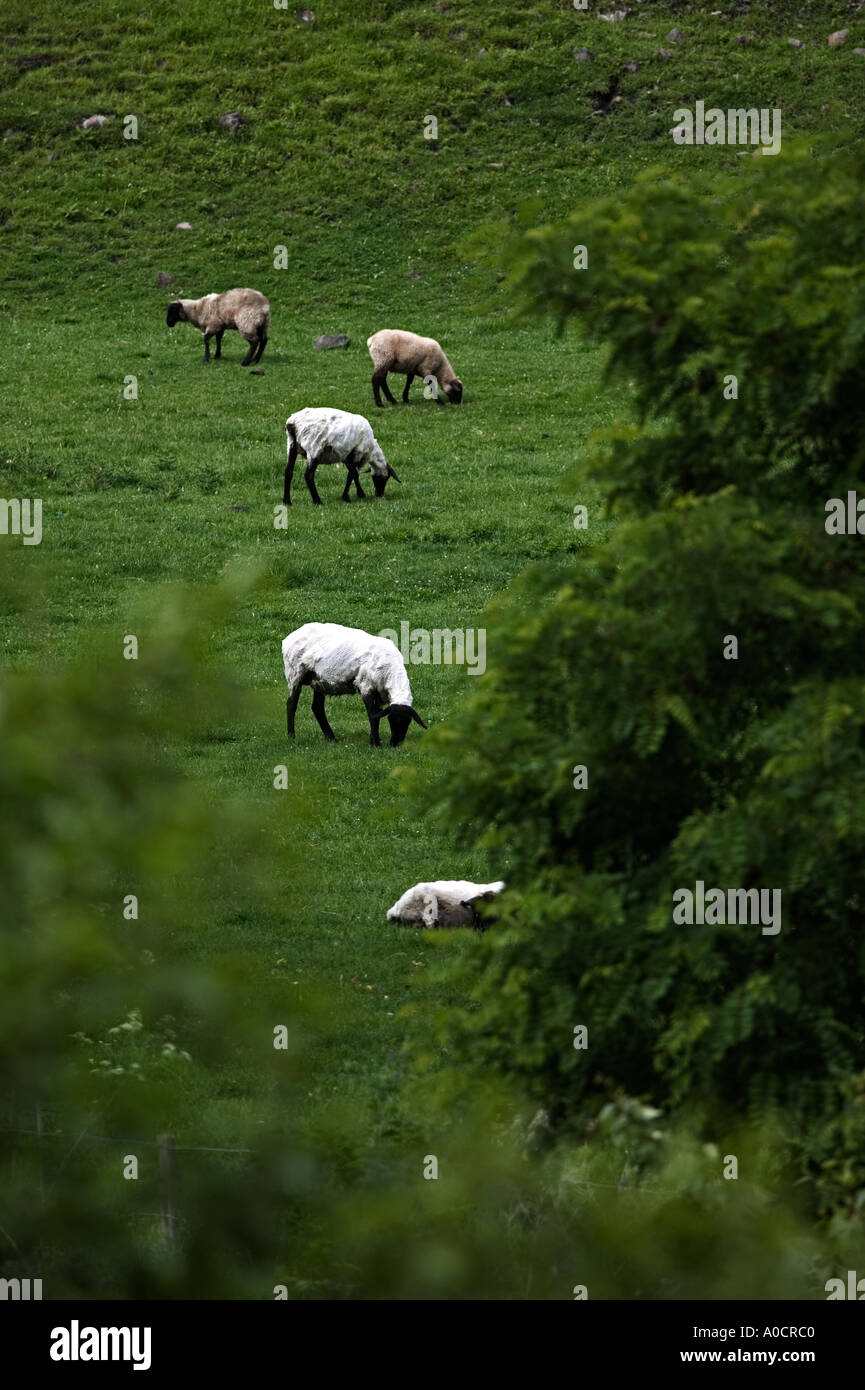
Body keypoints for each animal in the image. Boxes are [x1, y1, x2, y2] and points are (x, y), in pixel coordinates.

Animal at [283, 622, 428, 750]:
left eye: (408, 722)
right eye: (391, 720)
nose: (395, 744)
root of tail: (288, 638)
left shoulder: (379, 694)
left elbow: (376, 716)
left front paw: (374, 740)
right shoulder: (366, 686)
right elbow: (372, 716)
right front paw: (375, 744)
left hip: (319, 680)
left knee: (317, 708)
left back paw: (331, 738)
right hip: (295, 673)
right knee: (291, 704)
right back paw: (291, 736)